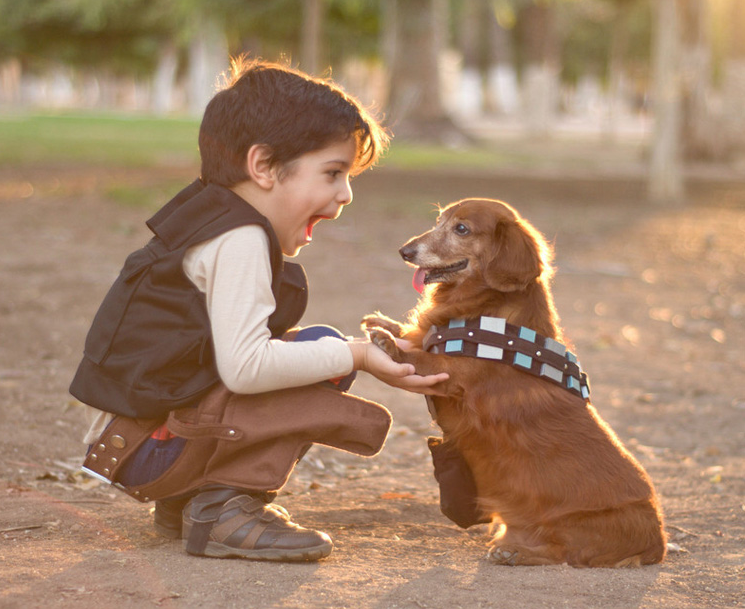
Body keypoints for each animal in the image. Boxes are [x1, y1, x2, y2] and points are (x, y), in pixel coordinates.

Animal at [364, 198, 664, 564]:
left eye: (461, 229)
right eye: (438, 221)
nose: (405, 251)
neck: (486, 311)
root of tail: (658, 541)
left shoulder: (451, 374)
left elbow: (418, 356)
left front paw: (387, 342)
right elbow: (416, 335)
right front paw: (385, 323)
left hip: (575, 524)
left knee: (563, 552)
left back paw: (514, 553)